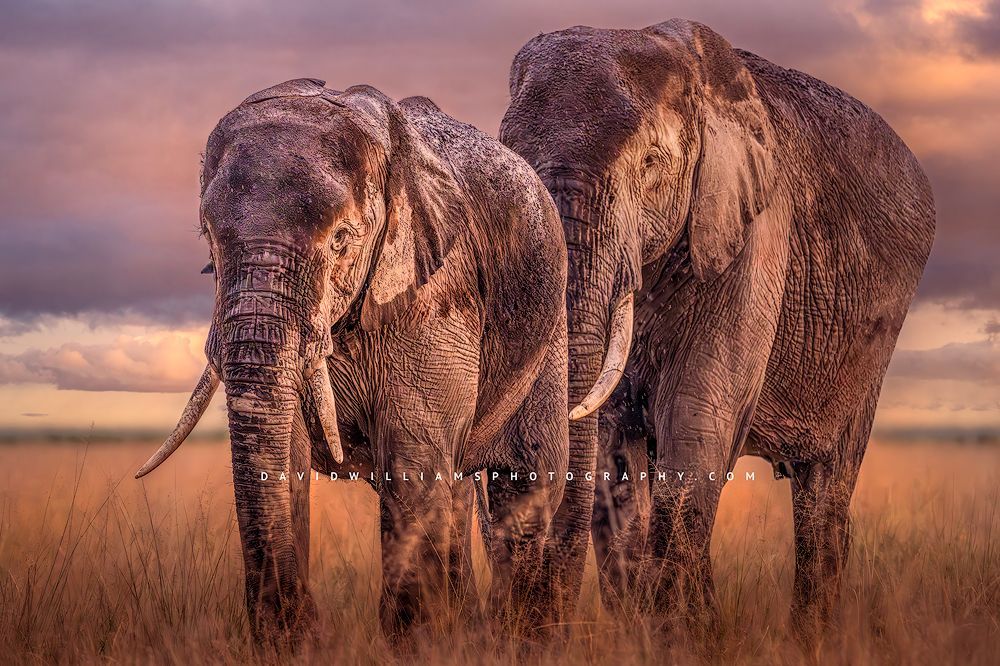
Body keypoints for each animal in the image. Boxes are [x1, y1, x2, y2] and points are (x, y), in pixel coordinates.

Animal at [135, 78, 581, 642]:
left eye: (342, 239)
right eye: (208, 238)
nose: (309, 625)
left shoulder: (437, 291)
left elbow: (412, 460)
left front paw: (415, 642)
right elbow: (288, 455)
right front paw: (292, 639)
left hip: (548, 328)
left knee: (524, 486)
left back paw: (518, 639)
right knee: (459, 489)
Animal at [500, 19, 935, 631]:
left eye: (652, 164)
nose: (541, 625)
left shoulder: (755, 230)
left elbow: (696, 423)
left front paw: (686, 633)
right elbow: (615, 454)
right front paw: (654, 629)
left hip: (870, 349)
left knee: (825, 492)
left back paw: (810, 636)